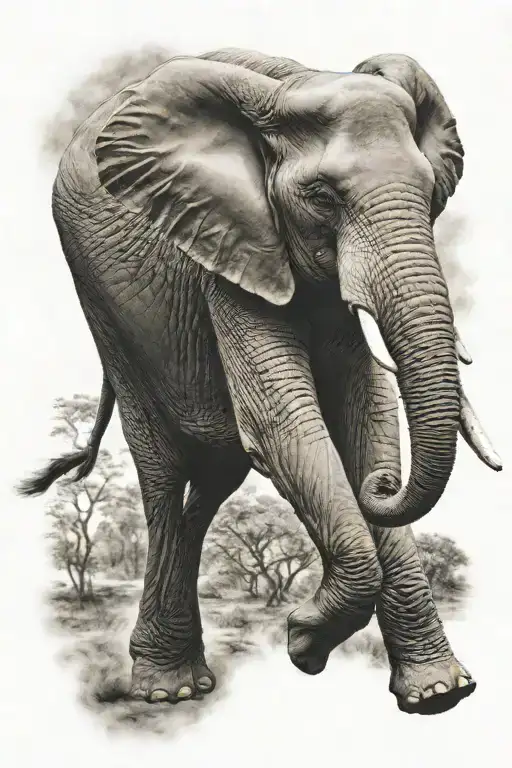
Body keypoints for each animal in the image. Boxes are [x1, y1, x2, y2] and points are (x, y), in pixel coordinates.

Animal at [19, 47, 502, 715]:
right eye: (322, 197)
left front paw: (437, 695)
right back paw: (168, 690)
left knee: (215, 477)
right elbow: (283, 422)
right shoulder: (227, 247)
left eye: (432, 193)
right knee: (165, 469)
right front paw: (304, 643)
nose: (383, 484)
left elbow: (365, 408)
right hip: (102, 301)